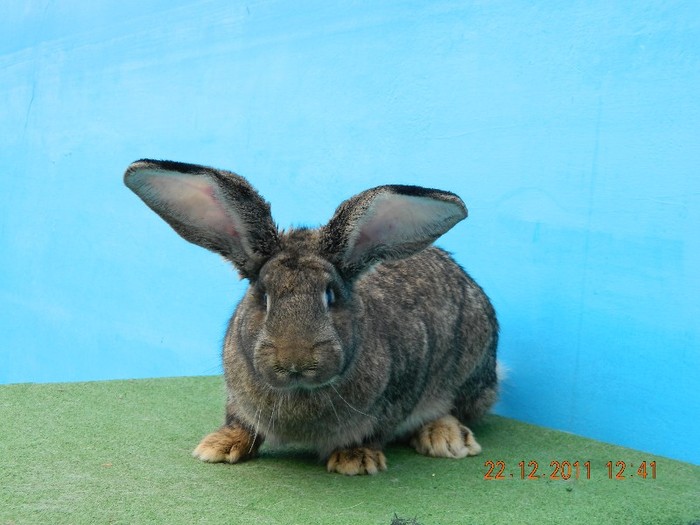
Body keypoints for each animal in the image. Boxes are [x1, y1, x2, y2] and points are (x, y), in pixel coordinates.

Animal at [126, 160, 498, 474]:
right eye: (263, 295)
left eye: (330, 295)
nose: (295, 360)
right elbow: (240, 423)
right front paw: (218, 446)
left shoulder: (398, 394)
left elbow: (376, 430)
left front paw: (355, 459)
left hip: (471, 369)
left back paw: (447, 438)